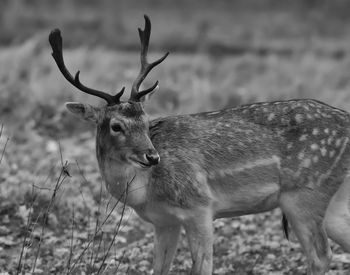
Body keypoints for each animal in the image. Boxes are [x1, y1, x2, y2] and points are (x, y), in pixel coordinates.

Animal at [49, 14, 350, 275]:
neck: (145, 192)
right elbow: (160, 270)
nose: (152, 157)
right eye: (116, 126)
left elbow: (202, 268)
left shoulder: (200, 207)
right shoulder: (164, 222)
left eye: (146, 121)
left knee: (321, 256)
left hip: (304, 193)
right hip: (332, 201)